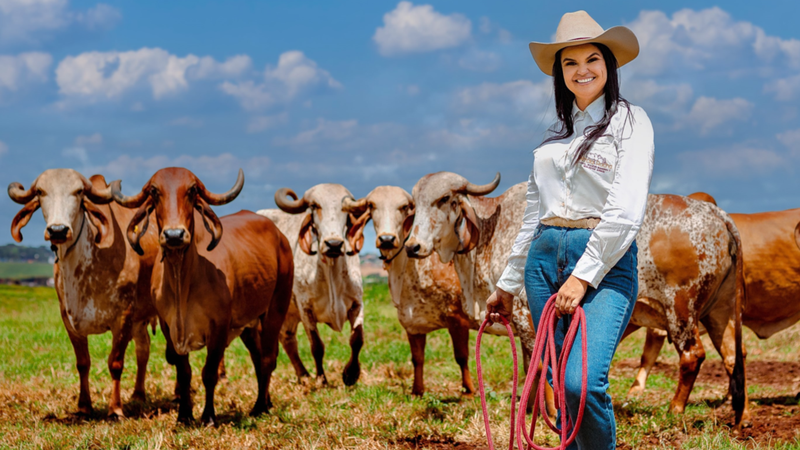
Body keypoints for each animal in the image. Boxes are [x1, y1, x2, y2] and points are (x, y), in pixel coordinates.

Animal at [7, 170, 158, 418]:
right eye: (40, 191)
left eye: (78, 192)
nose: (58, 230)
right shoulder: (69, 320)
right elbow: (83, 363)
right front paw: (84, 405)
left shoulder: (123, 317)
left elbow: (115, 363)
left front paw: (115, 409)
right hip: (140, 321)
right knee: (143, 349)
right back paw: (138, 395)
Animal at [108, 169, 292, 426]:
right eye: (154, 191)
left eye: (192, 190)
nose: (174, 235)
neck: (183, 279)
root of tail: (279, 235)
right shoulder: (168, 327)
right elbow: (184, 373)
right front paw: (184, 415)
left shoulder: (219, 327)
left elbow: (209, 373)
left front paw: (208, 416)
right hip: (248, 324)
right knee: (258, 358)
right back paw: (266, 401)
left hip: (276, 309)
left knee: (267, 358)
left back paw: (259, 407)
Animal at [256, 185, 366, 384]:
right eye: (315, 206)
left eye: (345, 210)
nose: (333, 244)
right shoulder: (305, 308)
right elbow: (317, 346)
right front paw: (322, 380)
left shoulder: (357, 303)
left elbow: (357, 339)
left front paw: (350, 374)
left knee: (287, 339)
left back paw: (303, 375)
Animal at [344, 185, 476, 396]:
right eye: (372, 206)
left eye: (404, 207)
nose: (387, 239)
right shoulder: (413, 325)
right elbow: (417, 359)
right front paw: (417, 390)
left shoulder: (458, 319)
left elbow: (461, 356)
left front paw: (469, 389)